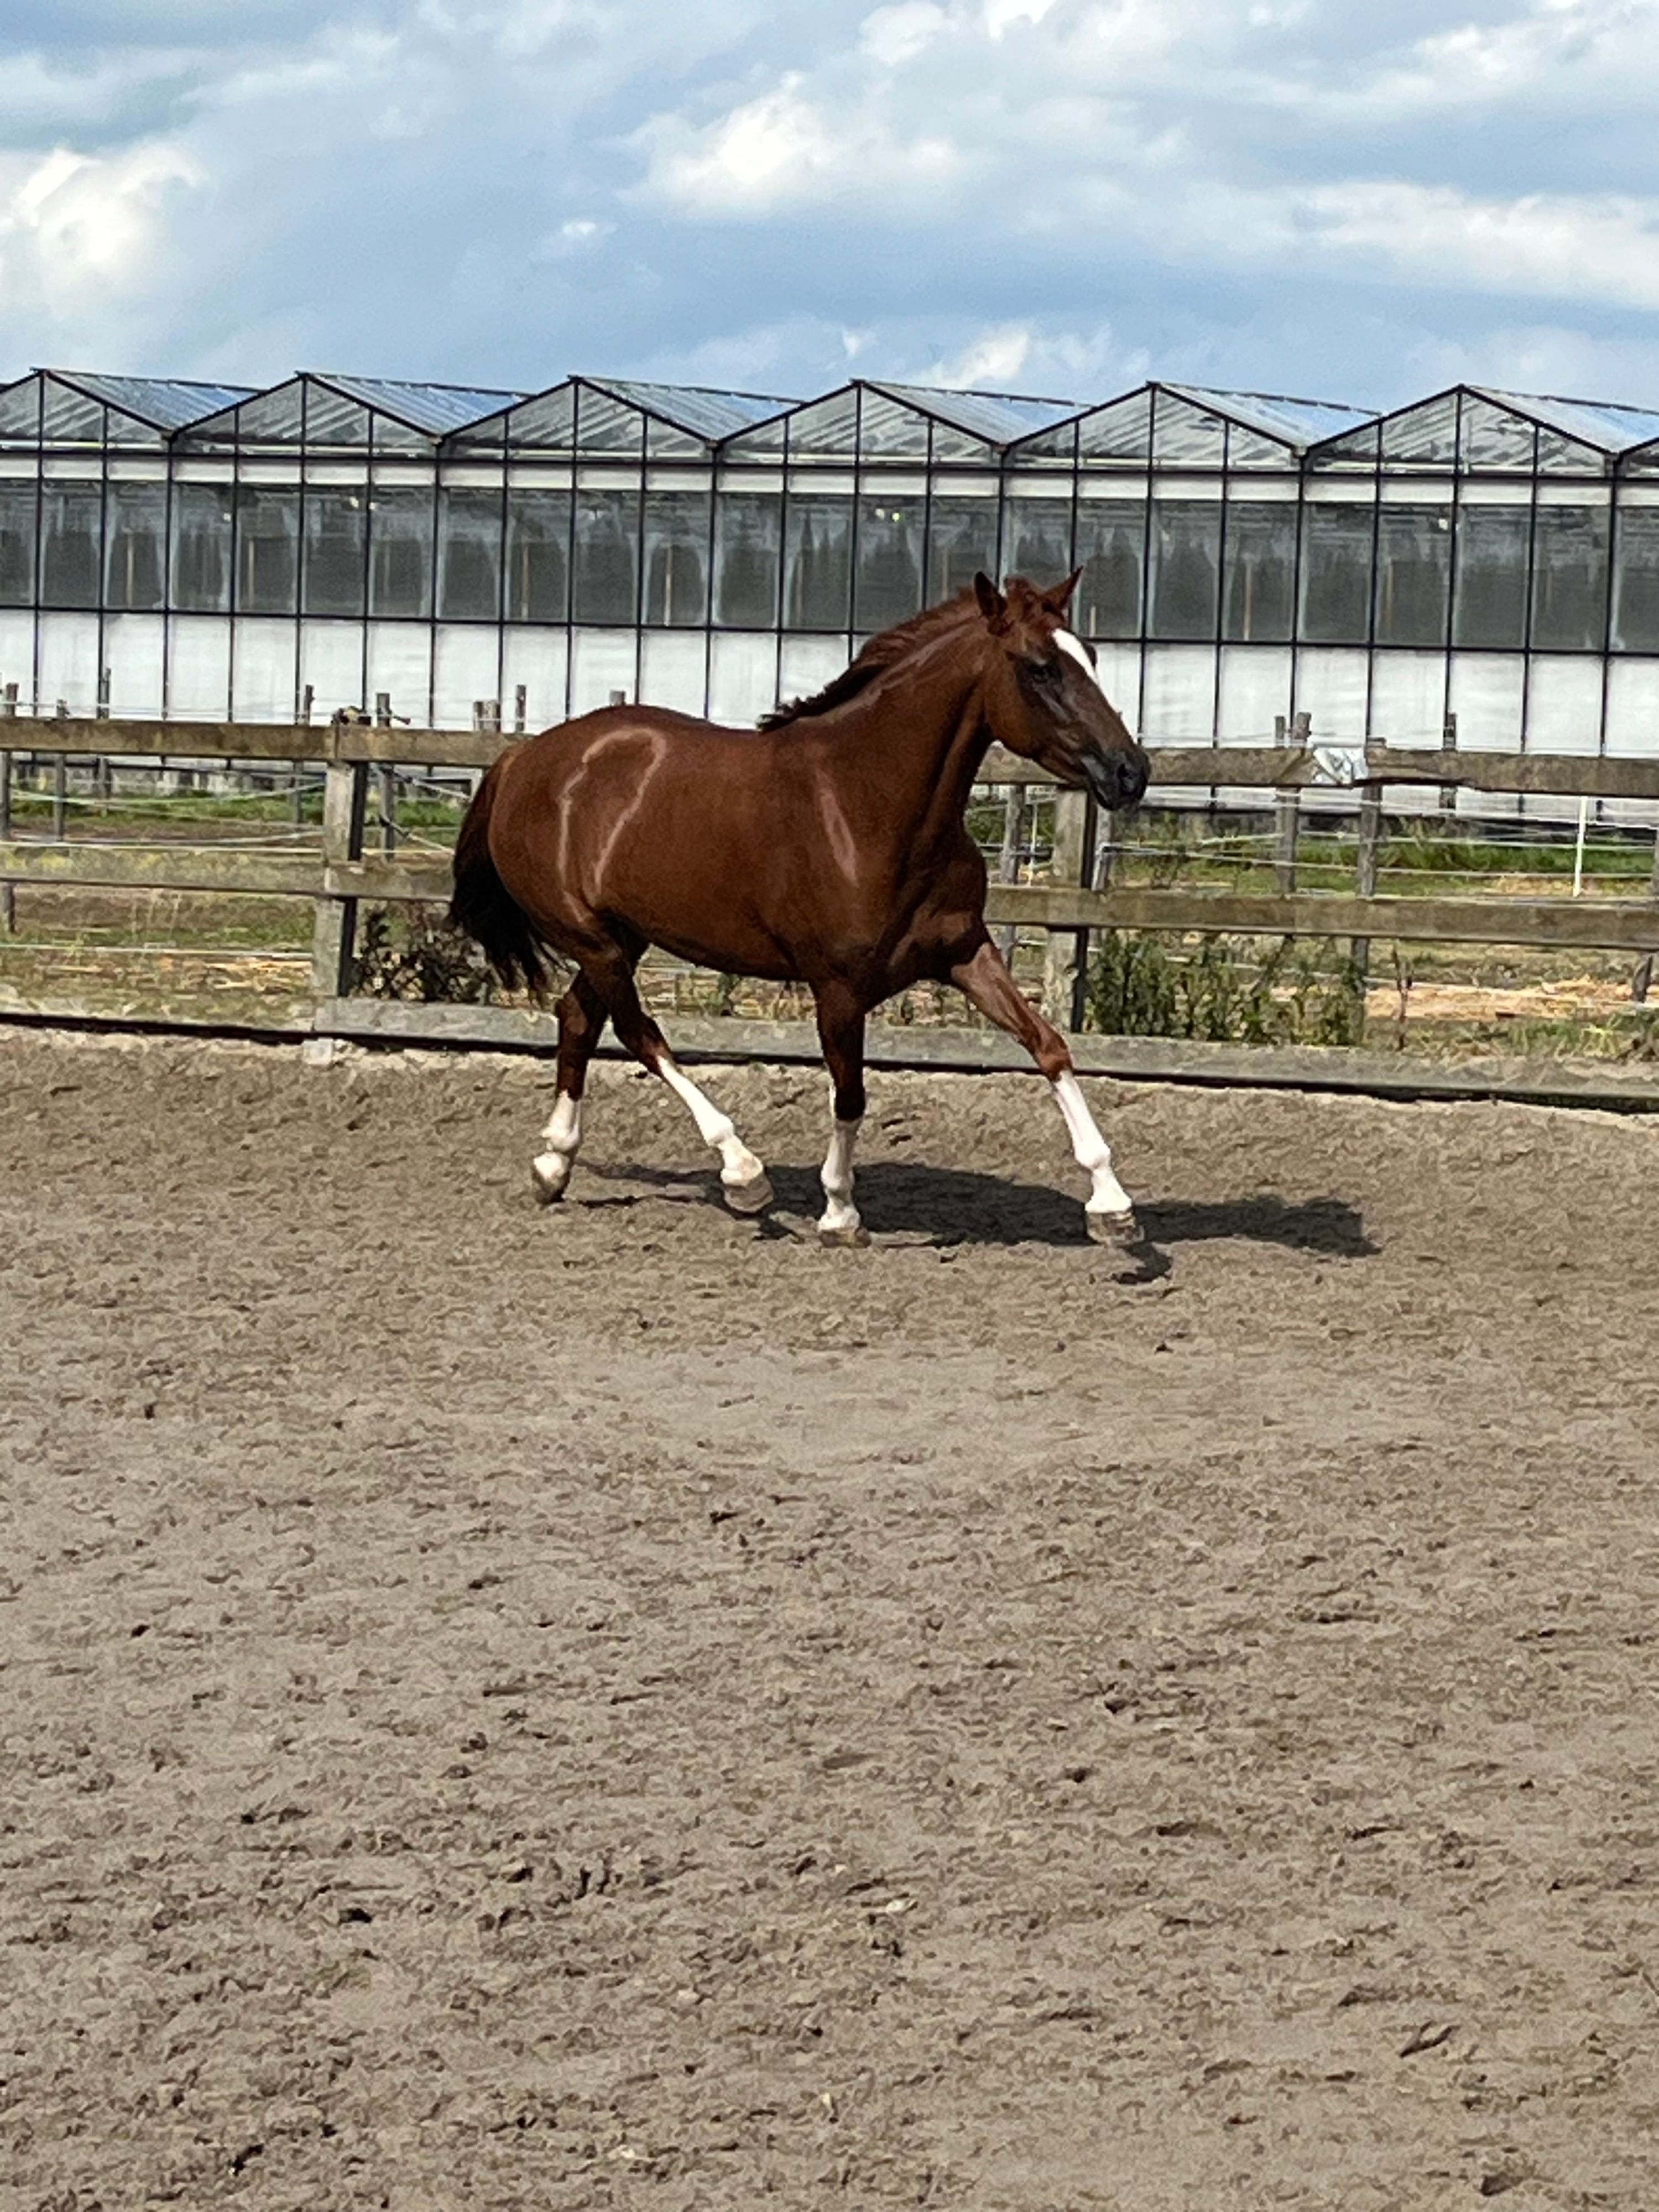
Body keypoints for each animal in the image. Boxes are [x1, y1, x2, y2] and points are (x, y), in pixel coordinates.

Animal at [448, 570, 1151, 1248]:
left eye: (1089, 656)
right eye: (1039, 667)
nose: (1130, 772)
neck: (866, 804)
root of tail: (525, 757)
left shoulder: (963, 952)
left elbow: (1048, 1045)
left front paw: (1113, 1206)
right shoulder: (837, 987)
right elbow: (851, 1095)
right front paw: (839, 1213)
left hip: (622, 937)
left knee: (577, 1019)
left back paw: (553, 1166)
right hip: (592, 938)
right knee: (637, 1032)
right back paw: (741, 1172)